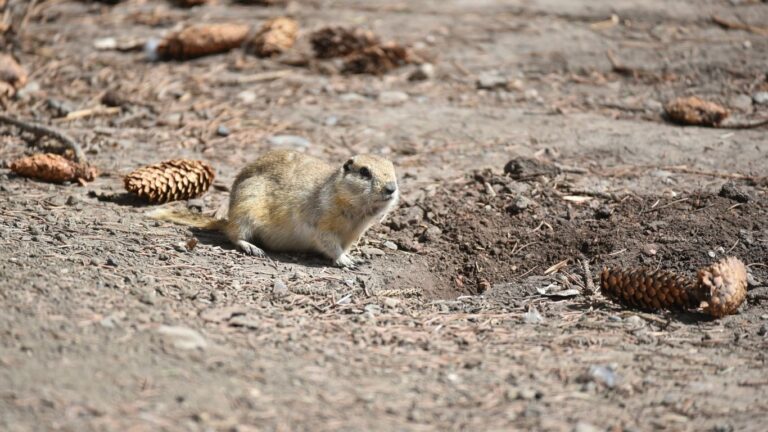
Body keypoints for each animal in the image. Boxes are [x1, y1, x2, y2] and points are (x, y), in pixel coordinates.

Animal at [148, 149, 399, 267]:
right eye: (364, 171)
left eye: (393, 168)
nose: (392, 188)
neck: (357, 212)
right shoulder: (322, 221)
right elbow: (328, 243)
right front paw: (345, 260)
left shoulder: (353, 234)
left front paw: (353, 256)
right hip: (245, 210)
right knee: (233, 234)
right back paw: (251, 247)